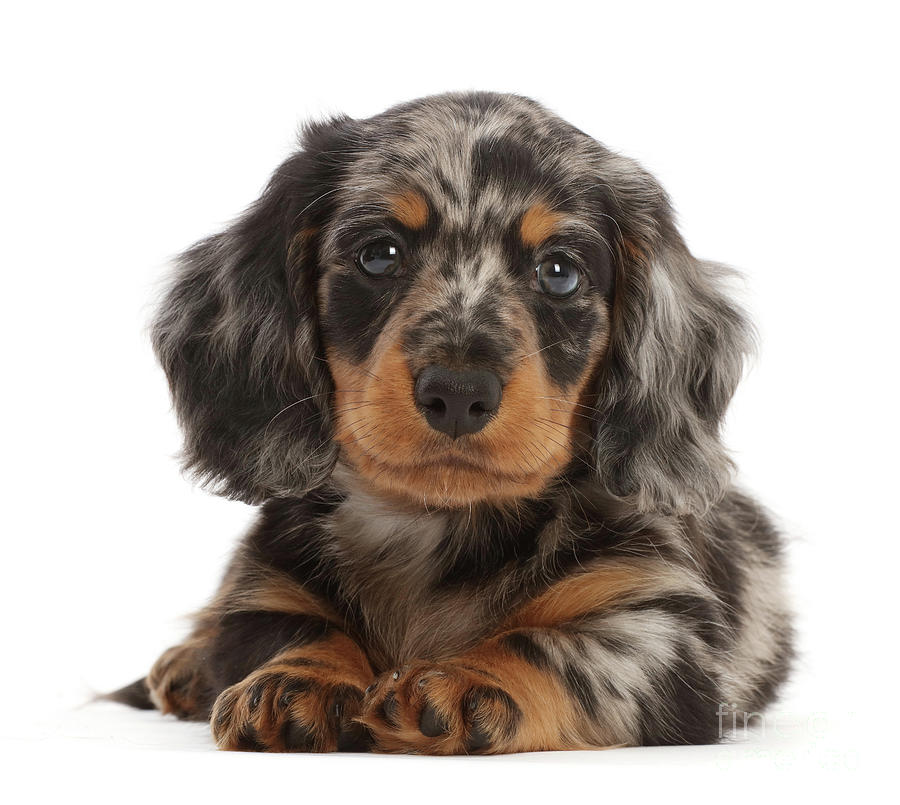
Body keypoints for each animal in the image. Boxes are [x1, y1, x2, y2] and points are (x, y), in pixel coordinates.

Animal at [109, 91, 792, 752]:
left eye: (560, 272)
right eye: (379, 255)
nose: (459, 393)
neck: (435, 528)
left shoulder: (657, 623)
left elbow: (547, 647)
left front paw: (466, 679)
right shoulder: (265, 587)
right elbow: (289, 628)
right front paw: (297, 678)